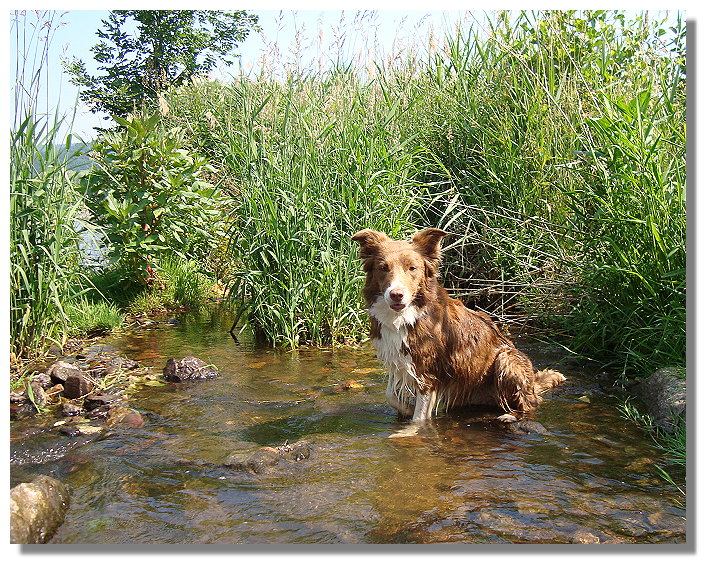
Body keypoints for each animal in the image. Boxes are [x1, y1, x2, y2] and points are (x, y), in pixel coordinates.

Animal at [354, 227, 564, 422]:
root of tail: (532, 384)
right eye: (383, 267)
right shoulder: (397, 358)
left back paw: (511, 416)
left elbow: (419, 417)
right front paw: (406, 409)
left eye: (412, 268)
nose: (396, 294)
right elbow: (390, 395)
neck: (405, 316)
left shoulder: (428, 371)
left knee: (529, 403)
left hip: (506, 359)